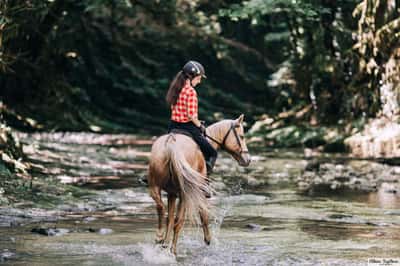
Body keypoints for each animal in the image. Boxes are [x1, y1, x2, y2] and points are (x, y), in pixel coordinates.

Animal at [148, 114, 252, 256]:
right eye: (241, 136)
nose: (248, 160)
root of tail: (171, 144)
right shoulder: (197, 193)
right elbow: (203, 215)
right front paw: (208, 240)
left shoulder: (172, 194)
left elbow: (170, 219)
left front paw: (165, 243)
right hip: (185, 193)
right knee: (179, 221)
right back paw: (173, 251)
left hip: (155, 186)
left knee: (161, 208)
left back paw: (159, 237)